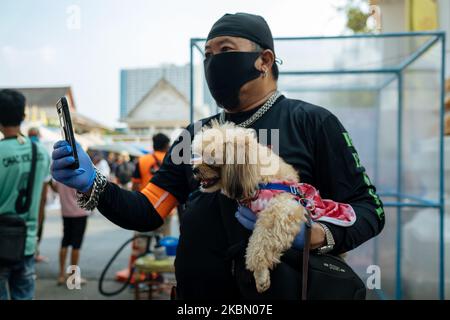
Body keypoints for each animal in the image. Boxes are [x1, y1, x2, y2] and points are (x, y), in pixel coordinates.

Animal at [192, 121, 308, 294]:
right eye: (199, 154)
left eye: (211, 160)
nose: (194, 169)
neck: (259, 180)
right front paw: (261, 278)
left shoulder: (281, 210)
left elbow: (261, 243)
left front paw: (258, 270)